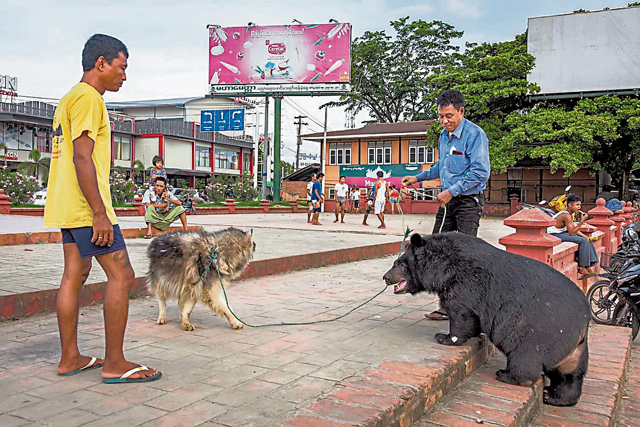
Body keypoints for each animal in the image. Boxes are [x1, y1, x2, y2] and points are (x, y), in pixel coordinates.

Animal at [384, 232, 592, 406]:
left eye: (400, 264)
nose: (386, 277)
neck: (443, 266)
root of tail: (583, 320)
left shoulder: (464, 283)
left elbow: (461, 314)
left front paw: (444, 337)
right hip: (574, 350)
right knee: (569, 376)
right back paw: (554, 396)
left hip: (536, 330)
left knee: (525, 357)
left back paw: (507, 375)